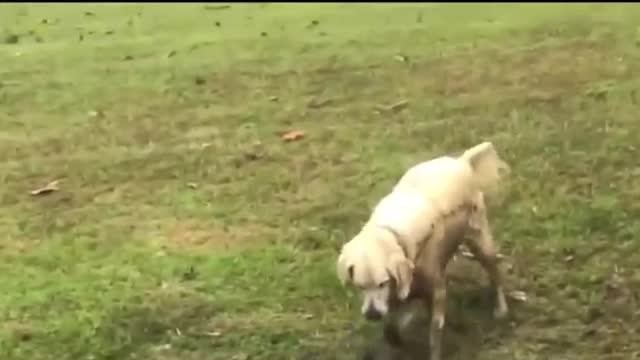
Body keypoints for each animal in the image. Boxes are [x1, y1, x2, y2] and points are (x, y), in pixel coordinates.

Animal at [336, 142, 510, 360]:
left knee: (495, 275)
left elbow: (434, 336)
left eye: (382, 283)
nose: (372, 315)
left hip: (481, 244)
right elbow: (391, 329)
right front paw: (397, 339)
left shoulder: (436, 291)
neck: (393, 236)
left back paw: (501, 309)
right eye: (359, 286)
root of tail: (461, 162)